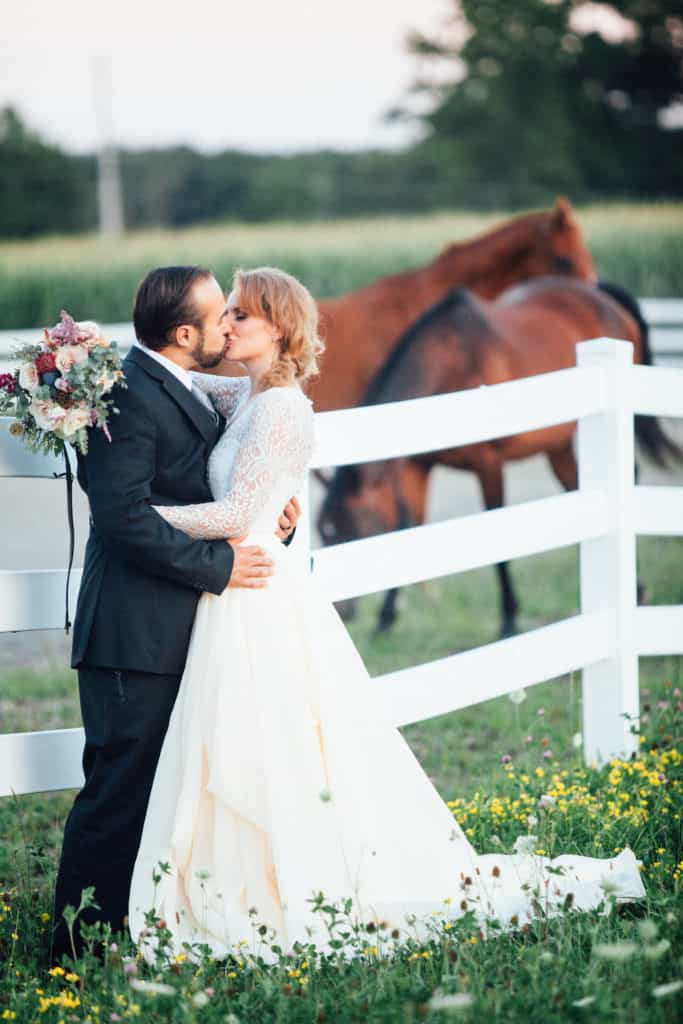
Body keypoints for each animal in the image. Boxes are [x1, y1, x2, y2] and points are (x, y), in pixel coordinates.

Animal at [317, 276, 679, 634]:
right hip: (558, 447)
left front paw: (508, 616)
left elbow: (496, 530)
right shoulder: (417, 468)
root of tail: (600, 295)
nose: (342, 611)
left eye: (349, 528)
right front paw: (386, 617)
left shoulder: (488, 464)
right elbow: (407, 527)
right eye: (324, 531)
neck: (449, 364)